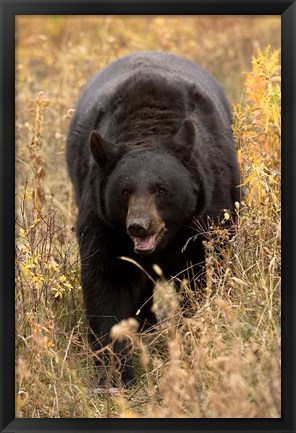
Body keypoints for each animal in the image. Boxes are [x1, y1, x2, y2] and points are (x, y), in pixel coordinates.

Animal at [66, 50, 240, 384]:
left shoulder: (206, 213)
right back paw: (146, 322)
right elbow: (107, 280)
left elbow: (205, 271)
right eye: (124, 191)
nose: (138, 226)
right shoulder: (103, 220)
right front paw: (115, 373)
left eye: (162, 189)